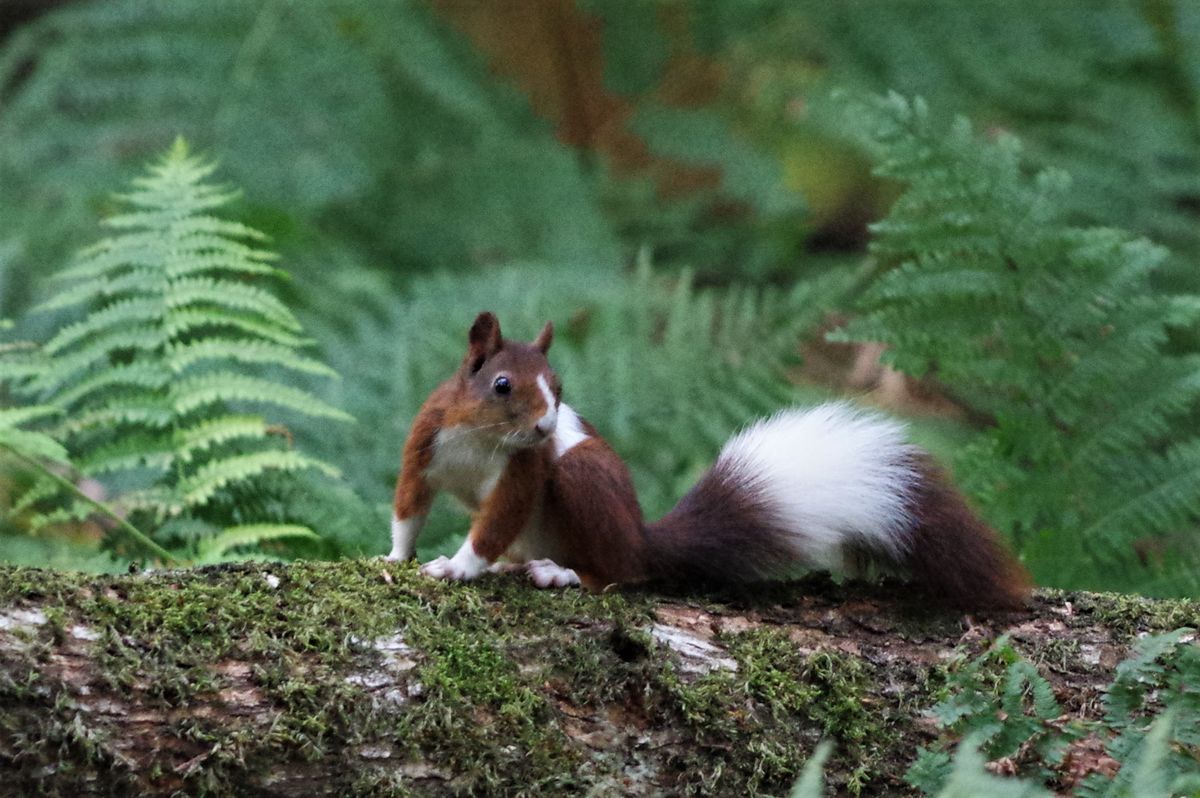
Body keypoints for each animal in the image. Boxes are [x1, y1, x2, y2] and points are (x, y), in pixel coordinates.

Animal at [386, 312, 1032, 609]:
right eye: (501, 385)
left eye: (559, 388)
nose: (546, 426)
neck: (482, 441)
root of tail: (639, 534)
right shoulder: (424, 443)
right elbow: (409, 507)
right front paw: (397, 556)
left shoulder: (526, 469)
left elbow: (494, 522)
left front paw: (459, 567)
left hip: (584, 480)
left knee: (623, 571)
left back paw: (564, 572)